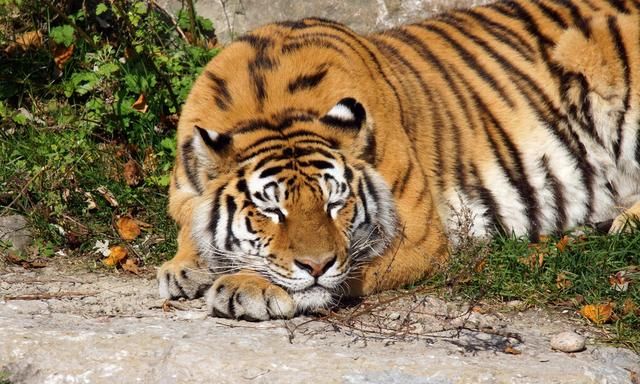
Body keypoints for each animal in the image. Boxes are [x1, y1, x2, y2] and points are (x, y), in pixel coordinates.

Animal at [159, 0, 640, 320]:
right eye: (272, 210)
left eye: (335, 204)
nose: (317, 265)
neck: (272, 108)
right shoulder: (184, 193)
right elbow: (190, 225)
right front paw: (183, 268)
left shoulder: (419, 238)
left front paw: (244, 285)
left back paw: (619, 222)